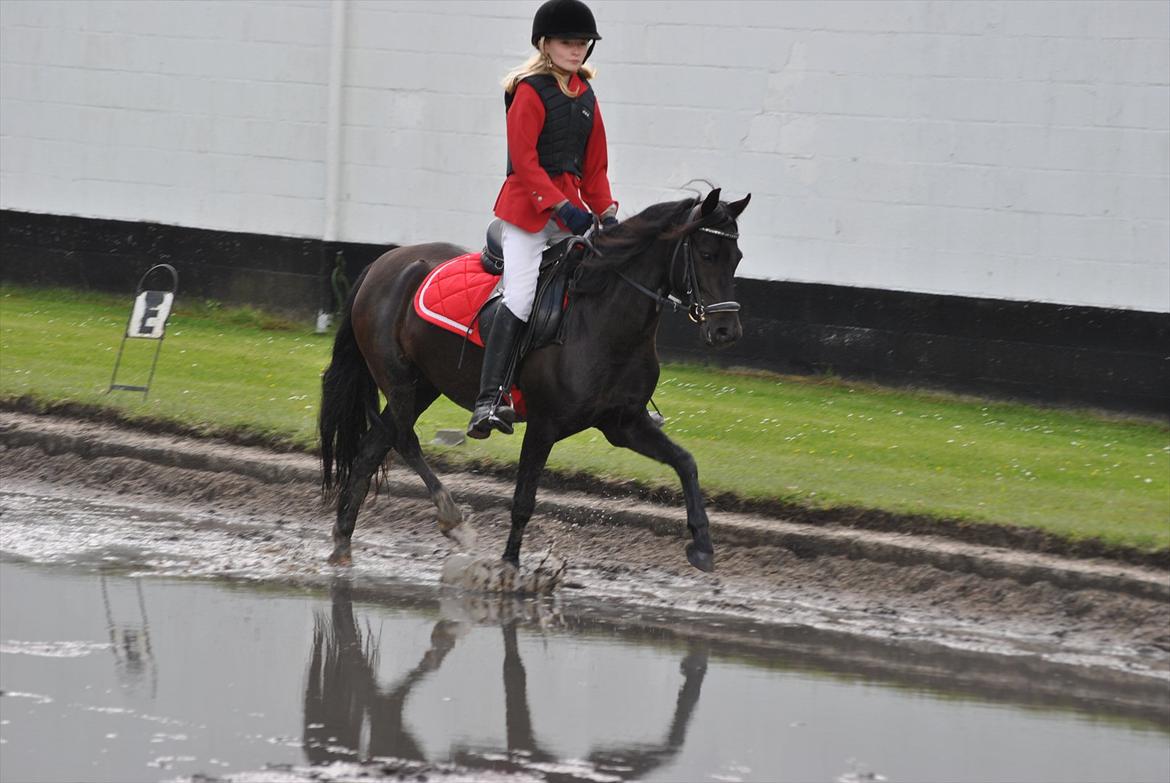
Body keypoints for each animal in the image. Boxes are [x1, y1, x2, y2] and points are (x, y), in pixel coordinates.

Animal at [318, 186, 748, 571]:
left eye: (737, 257)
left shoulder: (623, 423)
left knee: (373, 448)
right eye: (707, 254)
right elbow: (524, 499)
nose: (727, 331)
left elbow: (686, 462)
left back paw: (343, 542)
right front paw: (510, 566)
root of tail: (383, 263)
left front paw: (703, 545)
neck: (603, 319)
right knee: (404, 440)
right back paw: (453, 520)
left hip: (425, 383)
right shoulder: (544, 425)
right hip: (400, 380)